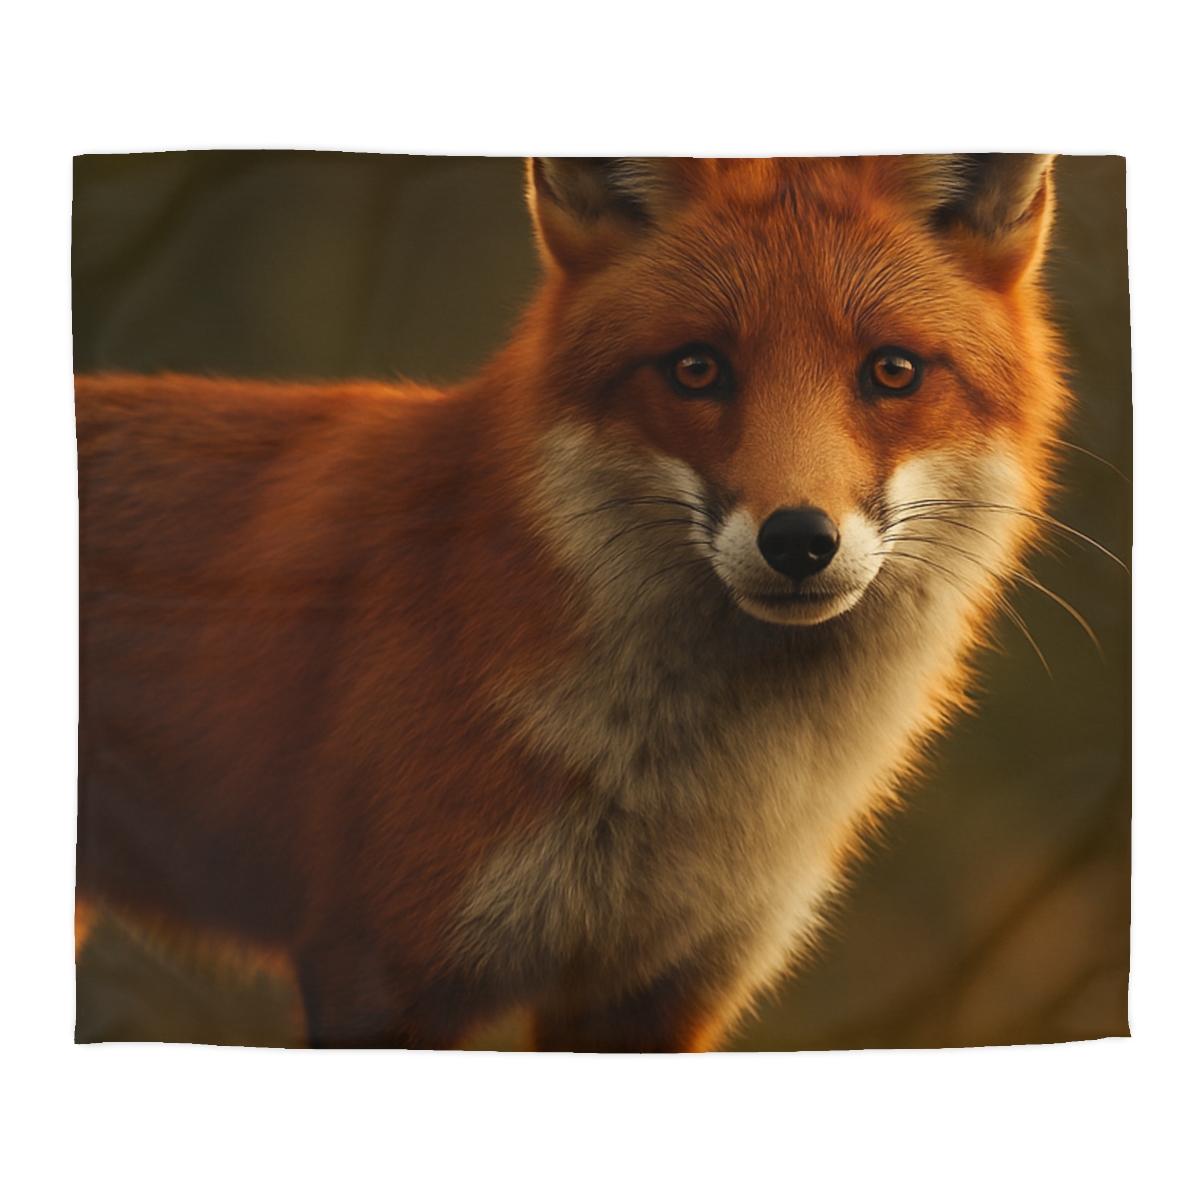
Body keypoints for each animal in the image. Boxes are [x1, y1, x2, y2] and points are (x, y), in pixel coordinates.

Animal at [76, 155, 1071, 1051]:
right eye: (697, 369)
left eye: (892, 371)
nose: (797, 540)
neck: (683, 793)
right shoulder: (378, 967)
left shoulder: (655, 993)